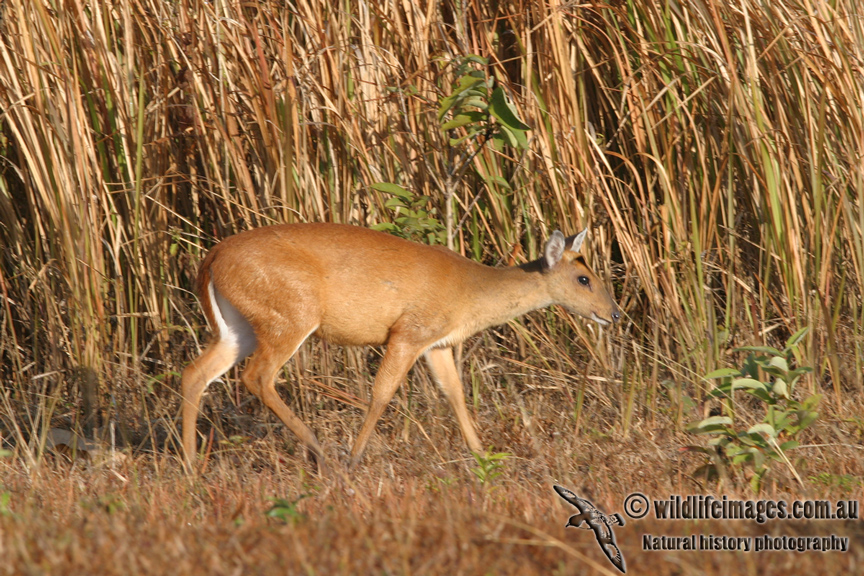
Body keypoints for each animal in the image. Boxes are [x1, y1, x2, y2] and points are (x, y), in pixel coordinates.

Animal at [179, 223, 616, 470]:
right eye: (583, 279)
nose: (612, 314)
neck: (469, 293)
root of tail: (211, 257)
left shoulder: (436, 343)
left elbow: (454, 393)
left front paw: (483, 455)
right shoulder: (407, 332)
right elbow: (382, 393)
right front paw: (355, 458)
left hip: (239, 326)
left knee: (196, 372)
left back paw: (190, 464)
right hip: (291, 315)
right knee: (258, 376)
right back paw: (322, 452)